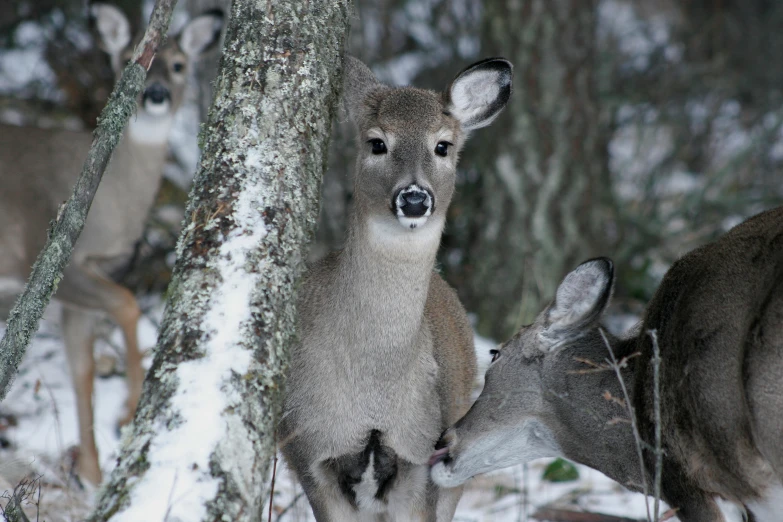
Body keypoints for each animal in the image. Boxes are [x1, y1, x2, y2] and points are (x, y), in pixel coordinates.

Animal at [0, 3, 224, 484]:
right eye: (130, 59)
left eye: (180, 65)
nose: (156, 93)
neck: (113, 212)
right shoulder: (46, 257)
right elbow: (127, 302)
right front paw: (128, 410)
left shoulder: (73, 292)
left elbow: (81, 369)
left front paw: (91, 472)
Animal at [278, 54, 516, 516]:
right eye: (377, 143)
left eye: (443, 146)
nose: (414, 198)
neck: (375, 385)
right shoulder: (309, 452)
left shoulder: (420, 456)